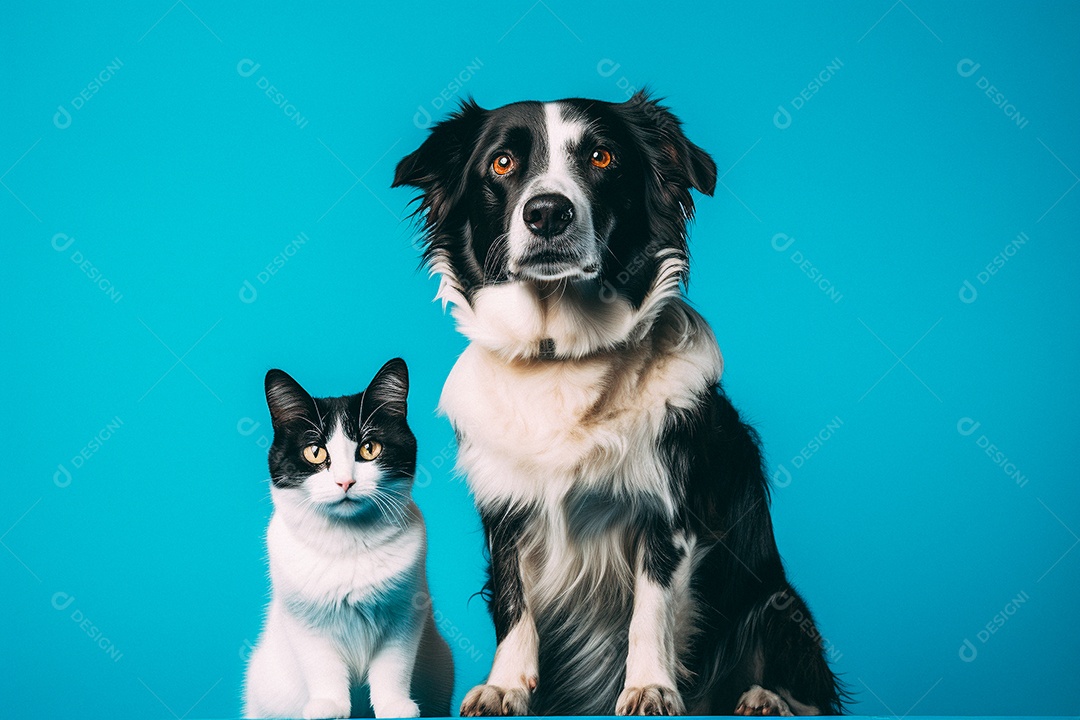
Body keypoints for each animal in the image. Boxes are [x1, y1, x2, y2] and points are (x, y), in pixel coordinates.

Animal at [244, 358, 451, 716]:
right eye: (315, 452)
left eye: (369, 449)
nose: (345, 482)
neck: (348, 542)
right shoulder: (305, 622)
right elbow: (322, 665)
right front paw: (329, 705)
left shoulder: (405, 616)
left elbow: (393, 666)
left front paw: (394, 706)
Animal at [395, 92, 842, 716]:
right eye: (502, 164)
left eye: (602, 157)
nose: (547, 213)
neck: (561, 357)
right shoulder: (505, 511)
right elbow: (512, 601)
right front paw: (506, 684)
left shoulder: (666, 512)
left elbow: (649, 609)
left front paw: (649, 685)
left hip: (779, 604)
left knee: (805, 688)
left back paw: (763, 697)